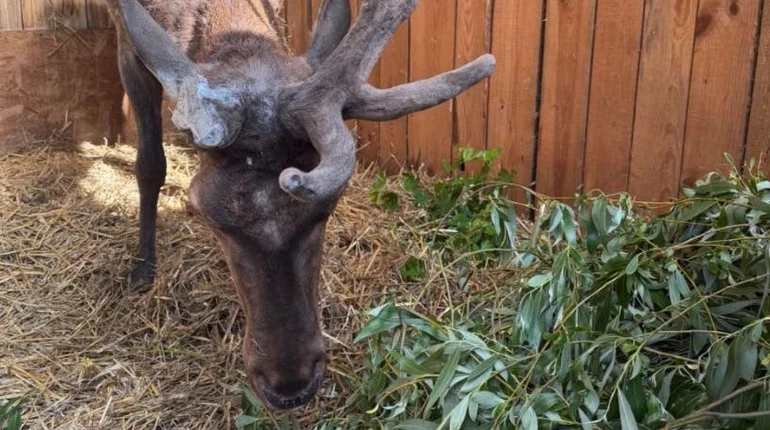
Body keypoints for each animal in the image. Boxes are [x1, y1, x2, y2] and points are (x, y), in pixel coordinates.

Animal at [107, 0, 495, 410]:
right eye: (206, 215)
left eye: (328, 207)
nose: (291, 386)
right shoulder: (125, 42)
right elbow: (150, 163)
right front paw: (142, 270)